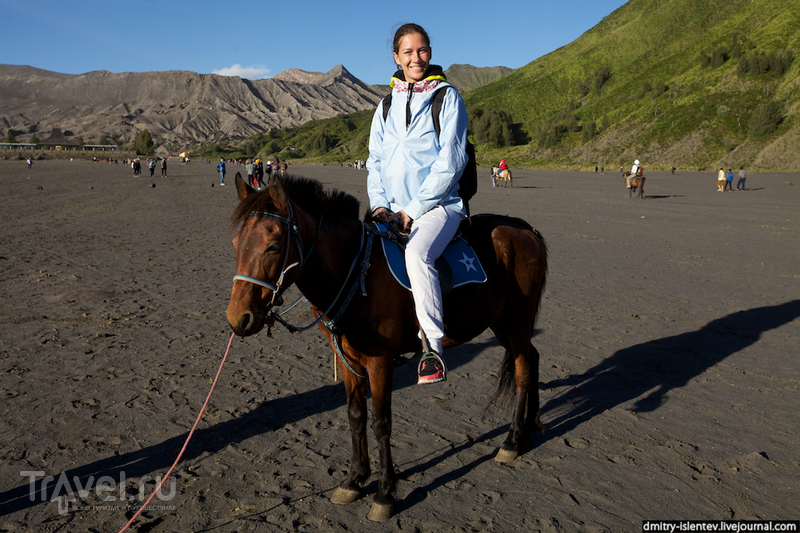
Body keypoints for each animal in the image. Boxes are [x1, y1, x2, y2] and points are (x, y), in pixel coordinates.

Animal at [228, 174, 548, 520]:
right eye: (235, 244)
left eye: (273, 246)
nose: (238, 318)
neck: (356, 270)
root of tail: (524, 228)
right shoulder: (348, 360)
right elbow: (355, 416)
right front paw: (354, 480)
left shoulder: (379, 362)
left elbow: (381, 423)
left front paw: (384, 493)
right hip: (502, 322)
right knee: (532, 358)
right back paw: (530, 427)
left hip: (516, 320)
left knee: (522, 370)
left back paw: (512, 441)